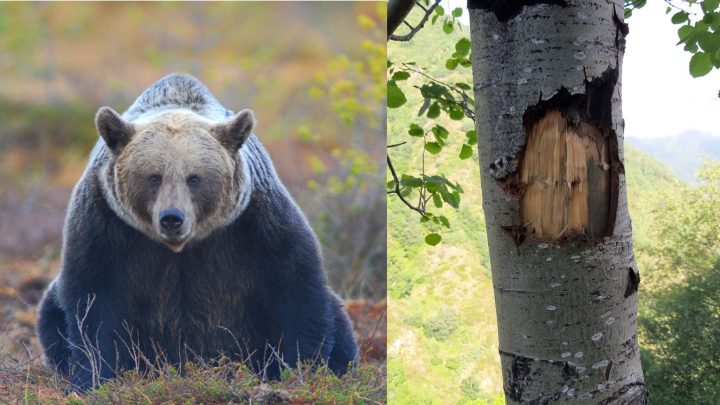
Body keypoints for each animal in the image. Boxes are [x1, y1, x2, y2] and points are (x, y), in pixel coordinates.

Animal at [36, 73, 359, 391]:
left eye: (194, 178)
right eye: (154, 176)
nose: (172, 218)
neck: (182, 249)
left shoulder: (256, 225)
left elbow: (297, 289)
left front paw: (304, 371)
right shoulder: (105, 227)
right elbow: (92, 305)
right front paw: (93, 379)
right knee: (51, 316)